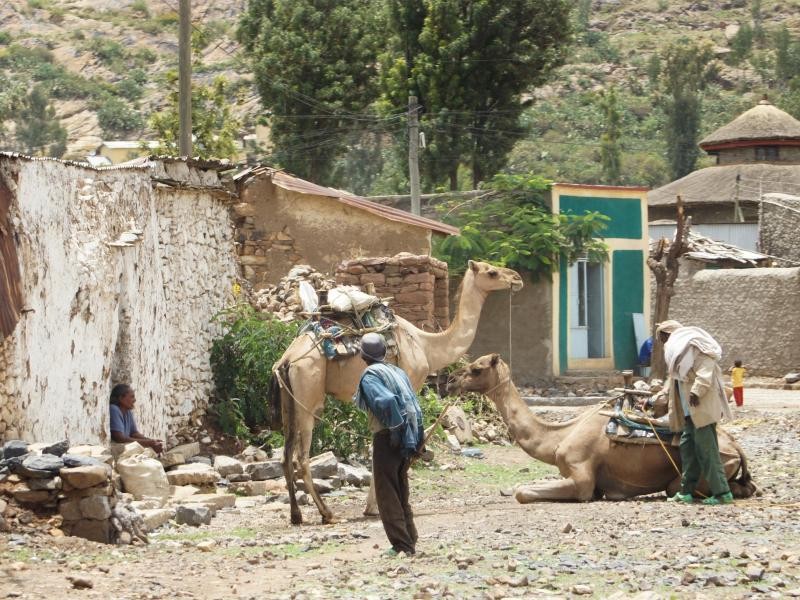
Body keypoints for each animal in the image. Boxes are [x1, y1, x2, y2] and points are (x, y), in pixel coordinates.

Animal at [274, 260, 524, 524]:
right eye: (492, 272)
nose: (516, 278)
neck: (427, 346)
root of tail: (287, 359)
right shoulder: (409, 383)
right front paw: (376, 507)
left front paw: (372, 507)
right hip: (308, 393)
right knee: (301, 457)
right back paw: (328, 514)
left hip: (288, 399)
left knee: (285, 454)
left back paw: (296, 515)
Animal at [450, 354, 756, 504]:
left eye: (476, 369)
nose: (452, 380)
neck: (559, 437)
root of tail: (737, 448)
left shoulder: (582, 479)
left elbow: (523, 492)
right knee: (747, 485)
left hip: (694, 471)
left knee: (675, 487)